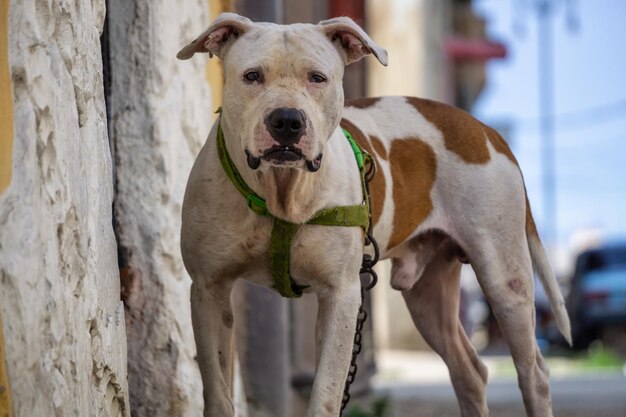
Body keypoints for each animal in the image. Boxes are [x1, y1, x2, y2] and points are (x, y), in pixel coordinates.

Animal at [177, 12, 572, 416]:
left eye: (317, 77)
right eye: (252, 75)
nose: (286, 120)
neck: (281, 193)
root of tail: (484, 129)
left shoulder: (341, 295)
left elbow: (325, 395)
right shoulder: (209, 290)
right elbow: (217, 392)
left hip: (505, 279)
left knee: (534, 373)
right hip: (428, 294)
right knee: (470, 370)